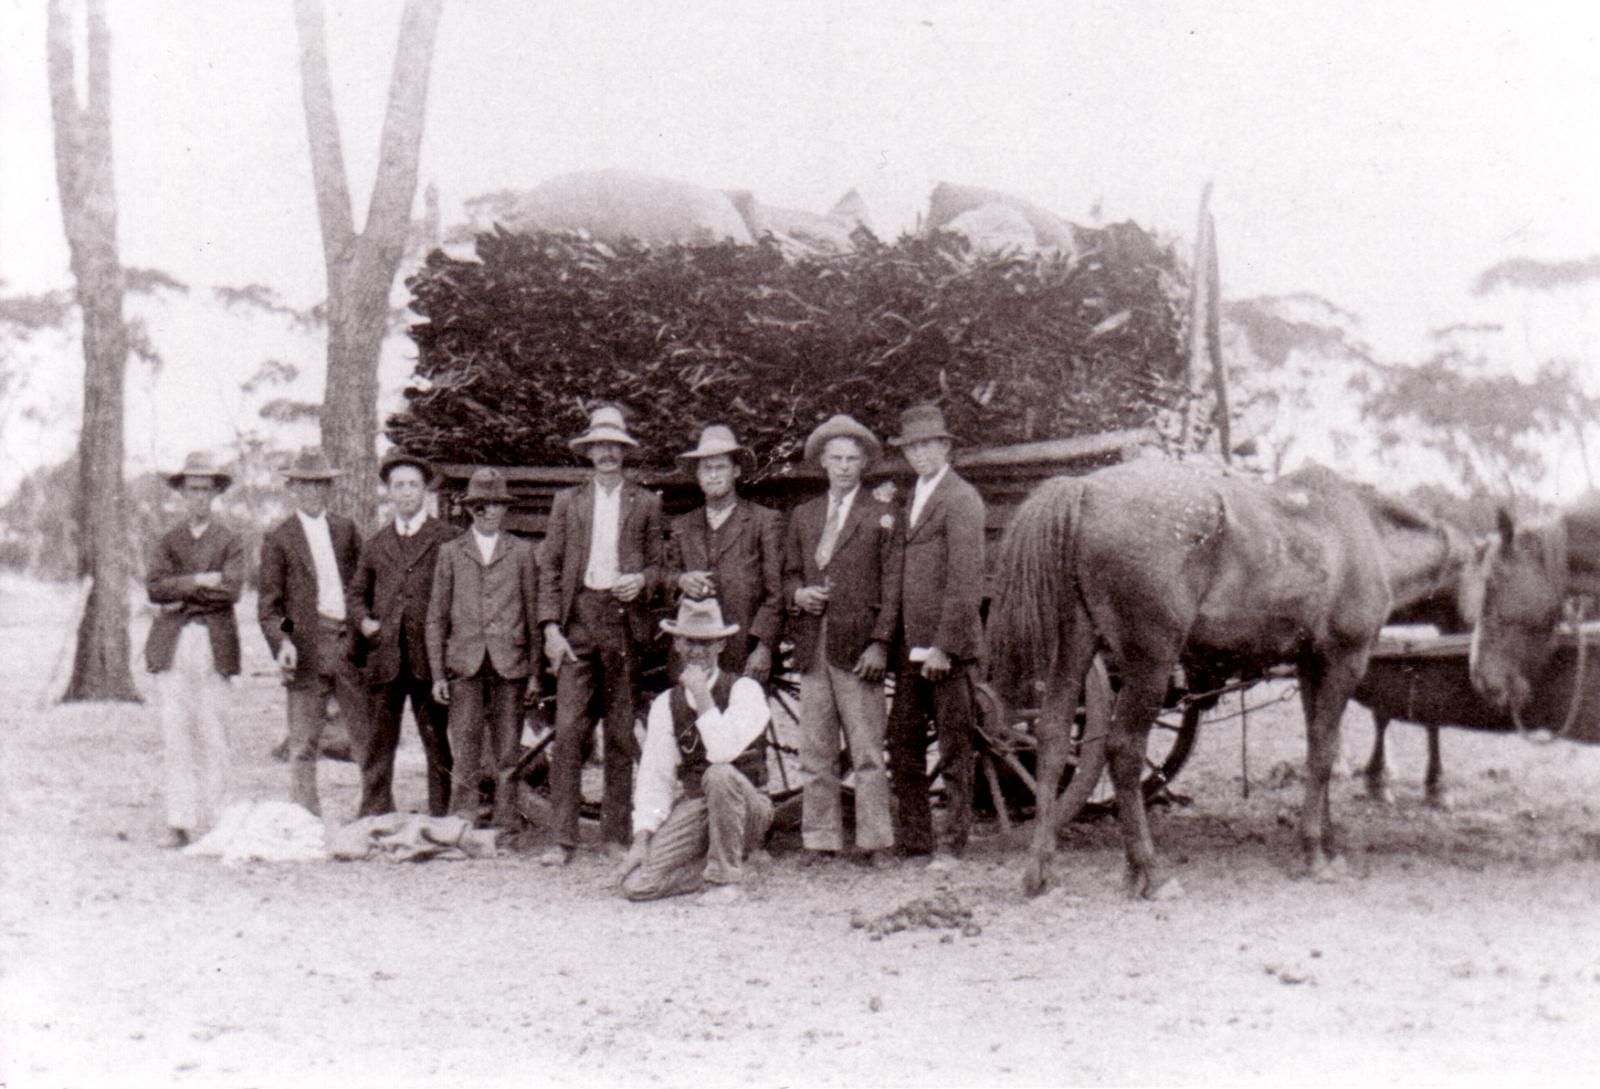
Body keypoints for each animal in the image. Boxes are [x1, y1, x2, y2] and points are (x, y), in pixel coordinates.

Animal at [992, 454, 1478, 895]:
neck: (1361, 531)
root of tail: (1085, 490)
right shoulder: (1345, 661)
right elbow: (1323, 754)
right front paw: (1314, 851)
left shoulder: (1311, 667)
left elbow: (1317, 748)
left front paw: (1326, 841)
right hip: (1150, 662)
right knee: (1123, 750)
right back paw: (1147, 870)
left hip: (1075, 646)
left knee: (1053, 739)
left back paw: (1040, 869)